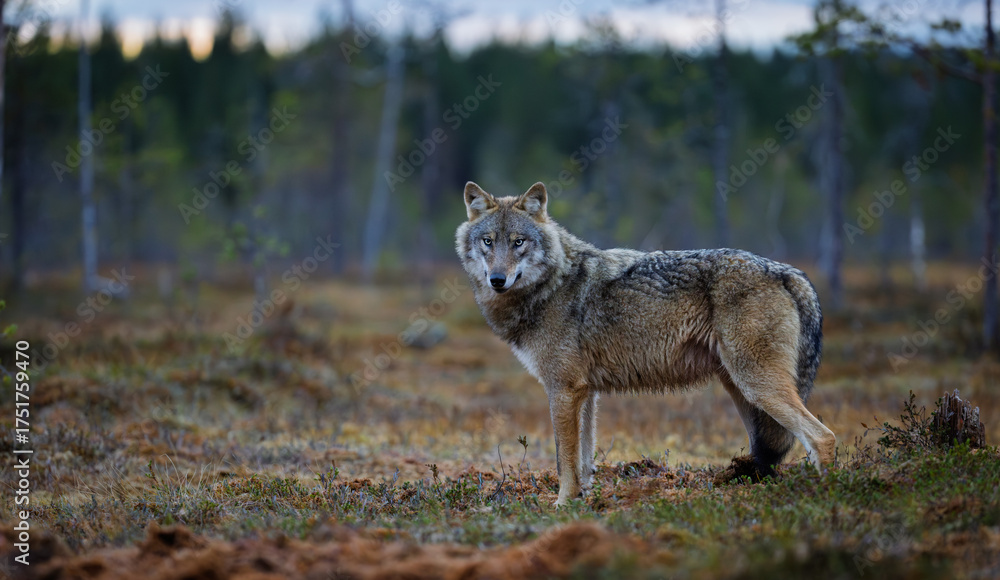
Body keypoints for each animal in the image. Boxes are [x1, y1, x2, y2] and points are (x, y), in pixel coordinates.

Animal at [456, 181, 837, 505]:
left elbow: (565, 460)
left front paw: (561, 506)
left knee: (823, 437)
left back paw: (828, 493)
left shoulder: (562, 390)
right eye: (488, 241)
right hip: (742, 393)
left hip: (757, 387)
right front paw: (582, 502)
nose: (497, 279)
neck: (551, 284)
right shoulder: (585, 393)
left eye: (518, 242)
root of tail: (789, 272)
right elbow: (583, 461)